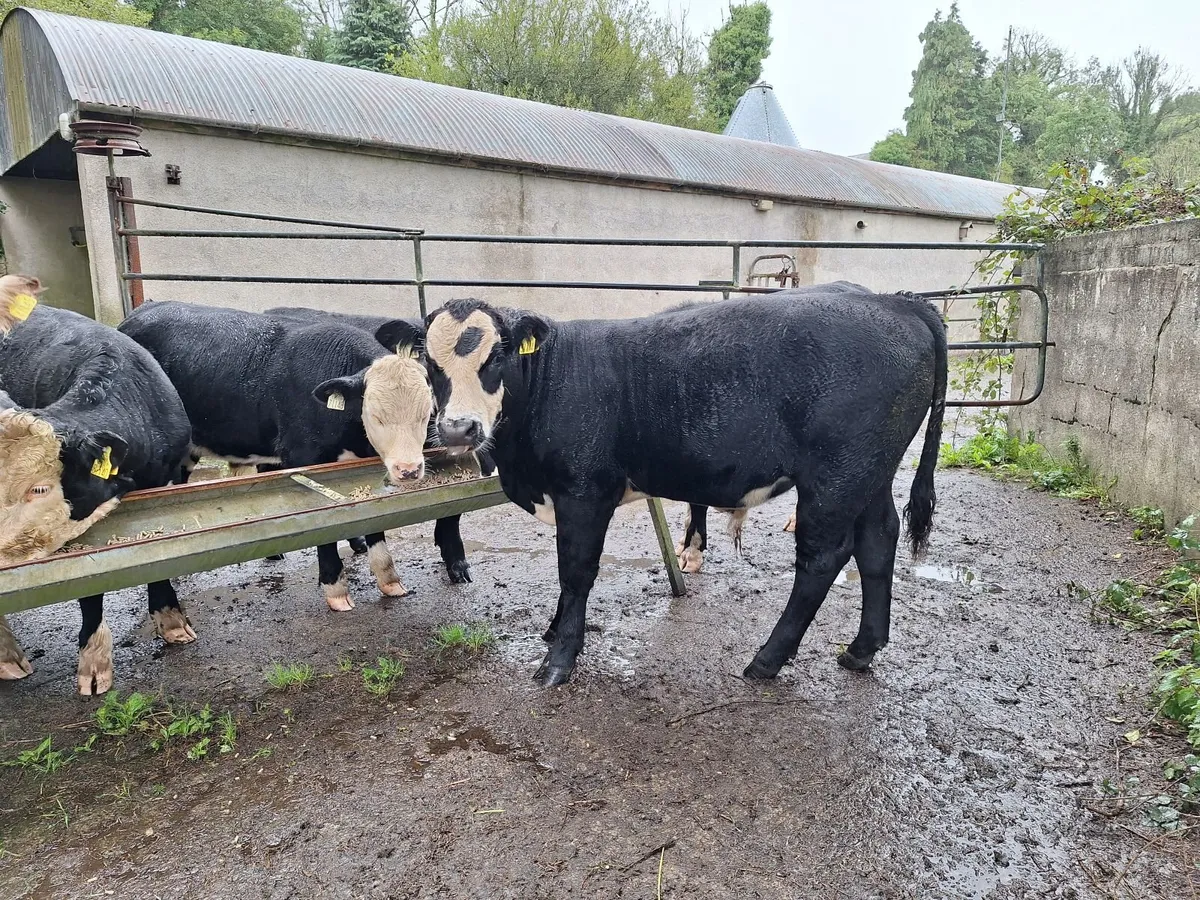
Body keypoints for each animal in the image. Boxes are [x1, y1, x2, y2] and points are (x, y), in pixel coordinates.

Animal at [118, 301, 434, 610]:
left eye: (426, 412)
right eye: (376, 416)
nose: (408, 469)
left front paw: (389, 579)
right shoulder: (302, 457)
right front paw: (335, 589)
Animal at [420, 286, 947, 686]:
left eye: (498, 355)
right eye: (429, 362)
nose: (458, 429)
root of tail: (894, 302)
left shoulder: (585, 493)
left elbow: (575, 572)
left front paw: (559, 660)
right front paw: (553, 632)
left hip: (835, 477)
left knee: (822, 558)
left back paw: (766, 660)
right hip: (870, 472)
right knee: (878, 539)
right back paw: (861, 649)